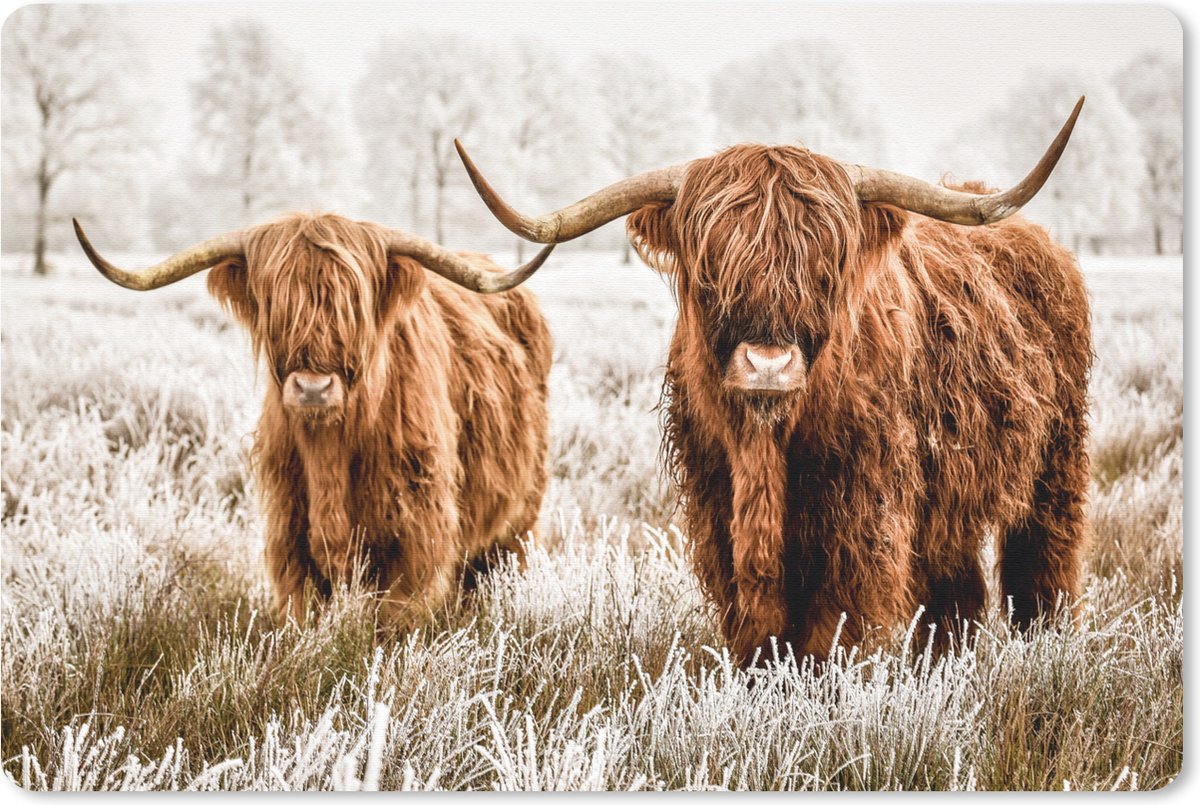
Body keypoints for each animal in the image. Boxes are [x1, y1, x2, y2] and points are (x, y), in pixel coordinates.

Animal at [75, 213, 555, 627]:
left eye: (353, 304)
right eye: (275, 303)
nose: (312, 388)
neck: (330, 452)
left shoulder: (417, 532)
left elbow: (396, 619)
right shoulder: (289, 532)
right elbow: (302, 614)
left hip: (519, 517)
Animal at [454, 97, 1091, 664]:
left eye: (826, 266)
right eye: (711, 268)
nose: (767, 365)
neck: (766, 447)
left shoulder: (864, 515)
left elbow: (835, 629)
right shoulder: (717, 509)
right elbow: (757, 628)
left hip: (1056, 464)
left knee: (1042, 565)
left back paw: (1045, 647)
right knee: (956, 591)